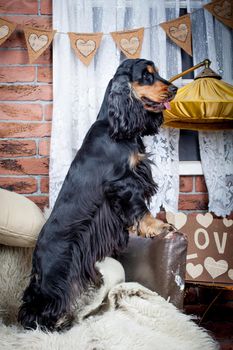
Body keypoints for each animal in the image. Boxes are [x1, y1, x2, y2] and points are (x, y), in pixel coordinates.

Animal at [18, 57, 177, 330]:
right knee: (40, 306)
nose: (175, 89)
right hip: (57, 272)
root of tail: (36, 254)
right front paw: (157, 227)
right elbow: (140, 208)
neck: (116, 127)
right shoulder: (124, 182)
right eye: (147, 76)